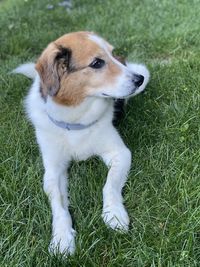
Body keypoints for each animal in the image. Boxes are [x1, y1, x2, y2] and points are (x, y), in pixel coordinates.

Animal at [13, 30, 149, 255]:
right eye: (97, 63)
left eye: (112, 54)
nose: (139, 79)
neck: (75, 122)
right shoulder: (53, 171)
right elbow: (59, 206)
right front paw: (61, 238)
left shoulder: (120, 153)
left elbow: (109, 185)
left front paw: (114, 214)